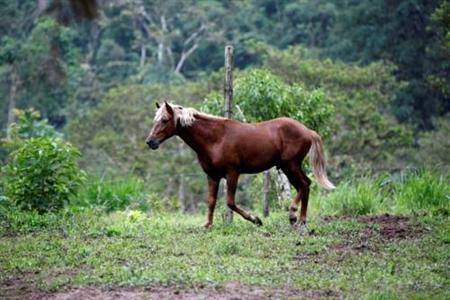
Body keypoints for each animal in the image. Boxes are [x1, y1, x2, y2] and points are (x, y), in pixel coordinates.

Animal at [145, 101, 334, 227]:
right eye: (155, 120)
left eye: (164, 120)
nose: (150, 142)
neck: (215, 138)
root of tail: (307, 131)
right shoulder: (212, 176)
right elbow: (211, 201)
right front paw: (207, 225)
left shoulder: (232, 173)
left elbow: (230, 202)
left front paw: (256, 220)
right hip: (288, 167)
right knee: (305, 185)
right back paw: (300, 220)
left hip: (291, 165)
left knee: (304, 184)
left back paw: (295, 216)